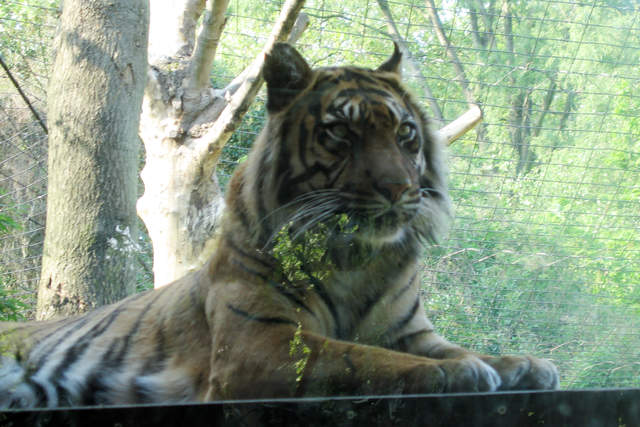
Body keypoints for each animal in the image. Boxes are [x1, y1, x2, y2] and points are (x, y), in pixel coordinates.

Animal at [0, 43, 558, 408]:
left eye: (405, 134)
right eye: (341, 132)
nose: (400, 189)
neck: (356, 257)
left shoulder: (411, 331)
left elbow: (452, 347)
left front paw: (522, 364)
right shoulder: (260, 343)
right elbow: (361, 359)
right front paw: (458, 371)